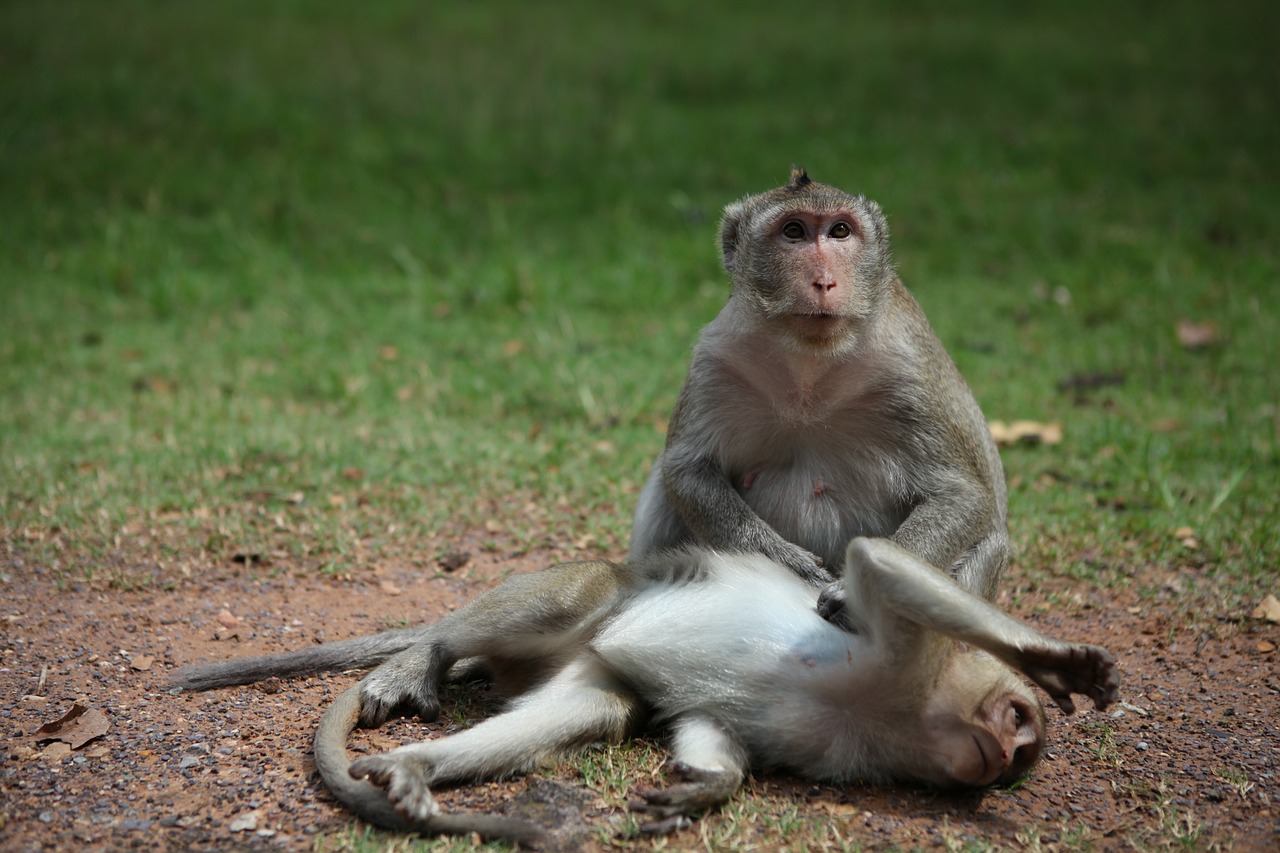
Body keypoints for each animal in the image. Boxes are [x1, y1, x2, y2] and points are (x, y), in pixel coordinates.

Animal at [173, 538, 1119, 844]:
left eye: (1015, 763)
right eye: (1018, 723)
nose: (1003, 755)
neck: (901, 714)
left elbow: (709, 726)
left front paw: (703, 788)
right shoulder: (906, 653)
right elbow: (876, 561)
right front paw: (1054, 660)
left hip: (585, 665)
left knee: (596, 703)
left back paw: (417, 767)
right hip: (591, 597)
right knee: (561, 600)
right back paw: (425, 656)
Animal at [630, 167, 1009, 606]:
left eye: (840, 231)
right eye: (793, 231)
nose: (824, 282)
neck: (811, 365)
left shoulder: (908, 373)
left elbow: (962, 496)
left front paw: (856, 586)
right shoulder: (719, 357)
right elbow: (687, 471)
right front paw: (787, 562)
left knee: (990, 539)